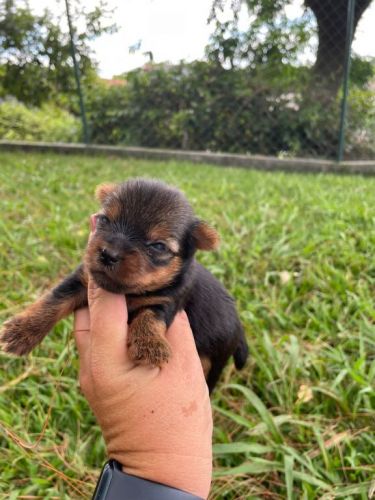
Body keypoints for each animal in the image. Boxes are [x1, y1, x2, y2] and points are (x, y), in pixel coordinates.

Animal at [0, 178, 250, 392]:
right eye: (104, 220)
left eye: (158, 246)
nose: (108, 254)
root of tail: (238, 326)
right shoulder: (83, 278)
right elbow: (54, 299)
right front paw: (21, 331)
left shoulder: (168, 300)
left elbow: (150, 315)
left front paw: (150, 345)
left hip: (215, 361)